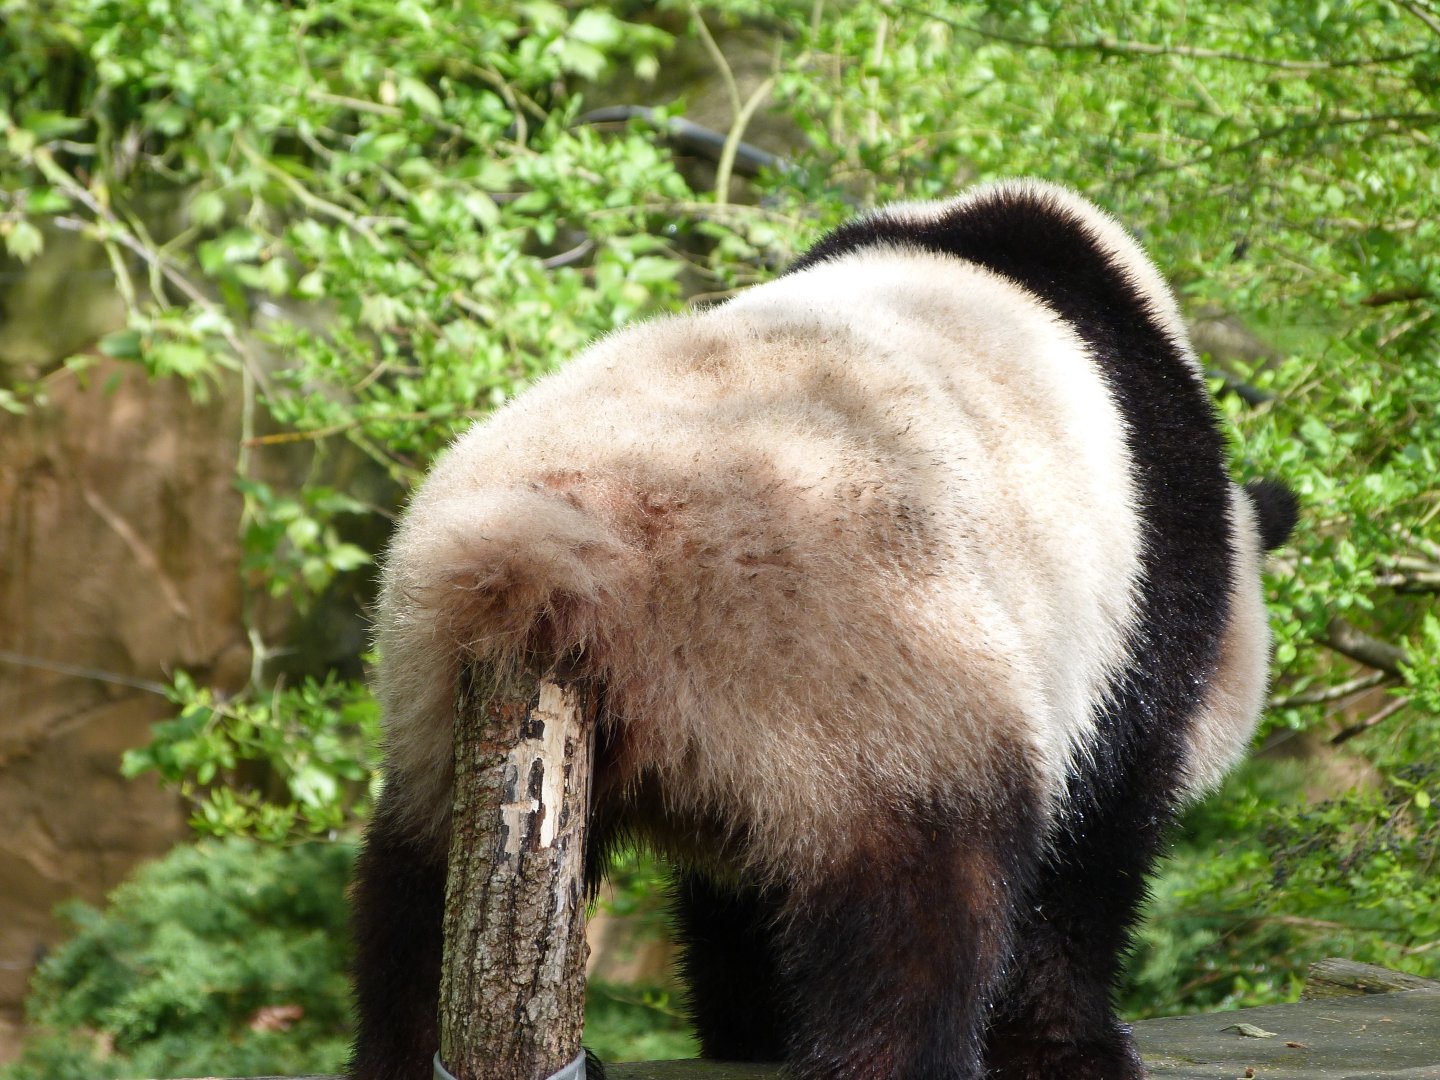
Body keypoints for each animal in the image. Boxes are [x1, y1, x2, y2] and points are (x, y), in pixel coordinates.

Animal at [349, 179, 1297, 1080]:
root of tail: (565, 545)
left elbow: (739, 904)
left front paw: (750, 1032)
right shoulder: (1140, 606)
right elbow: (1091, 844)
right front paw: (1074, 1051)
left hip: (443, 704)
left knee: (414, 898)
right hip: (862, 663)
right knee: (924, 911)